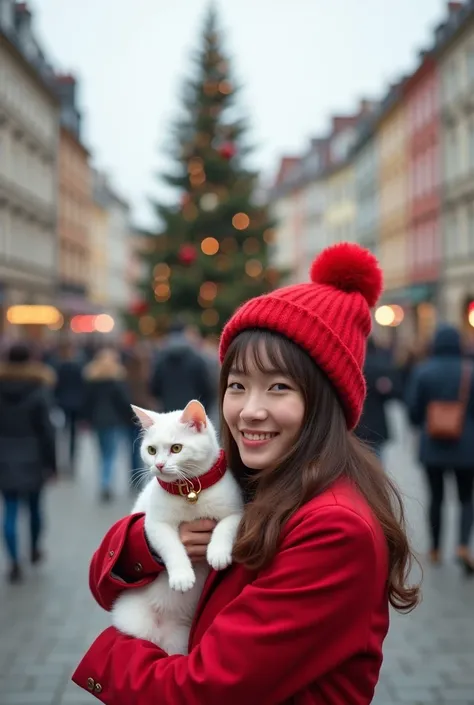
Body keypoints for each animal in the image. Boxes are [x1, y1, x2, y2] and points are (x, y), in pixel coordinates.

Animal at [111, 402, 244, 656]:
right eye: (151, 450)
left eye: (176, 448)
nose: (159, 465)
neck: (190, 491)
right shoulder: (155, 524)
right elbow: (172, 547)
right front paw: (182, 576)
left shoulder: (236, 511)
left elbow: (225, 527)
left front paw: (218, 553)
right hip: (135, 622)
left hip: (179, 641)